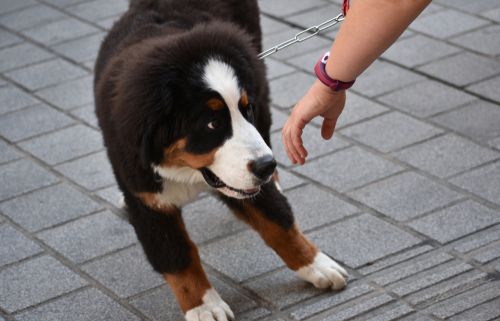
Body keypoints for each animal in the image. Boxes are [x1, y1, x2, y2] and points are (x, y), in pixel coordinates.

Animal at [95, 0, 350, 318]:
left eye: (246, 109)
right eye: (213, 123)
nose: (267, 166)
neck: (187, 172)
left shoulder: (248, 176)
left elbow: (279, 223)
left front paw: (317, 264)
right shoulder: (148, 202)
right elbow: (177, 256)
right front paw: (204, 306)